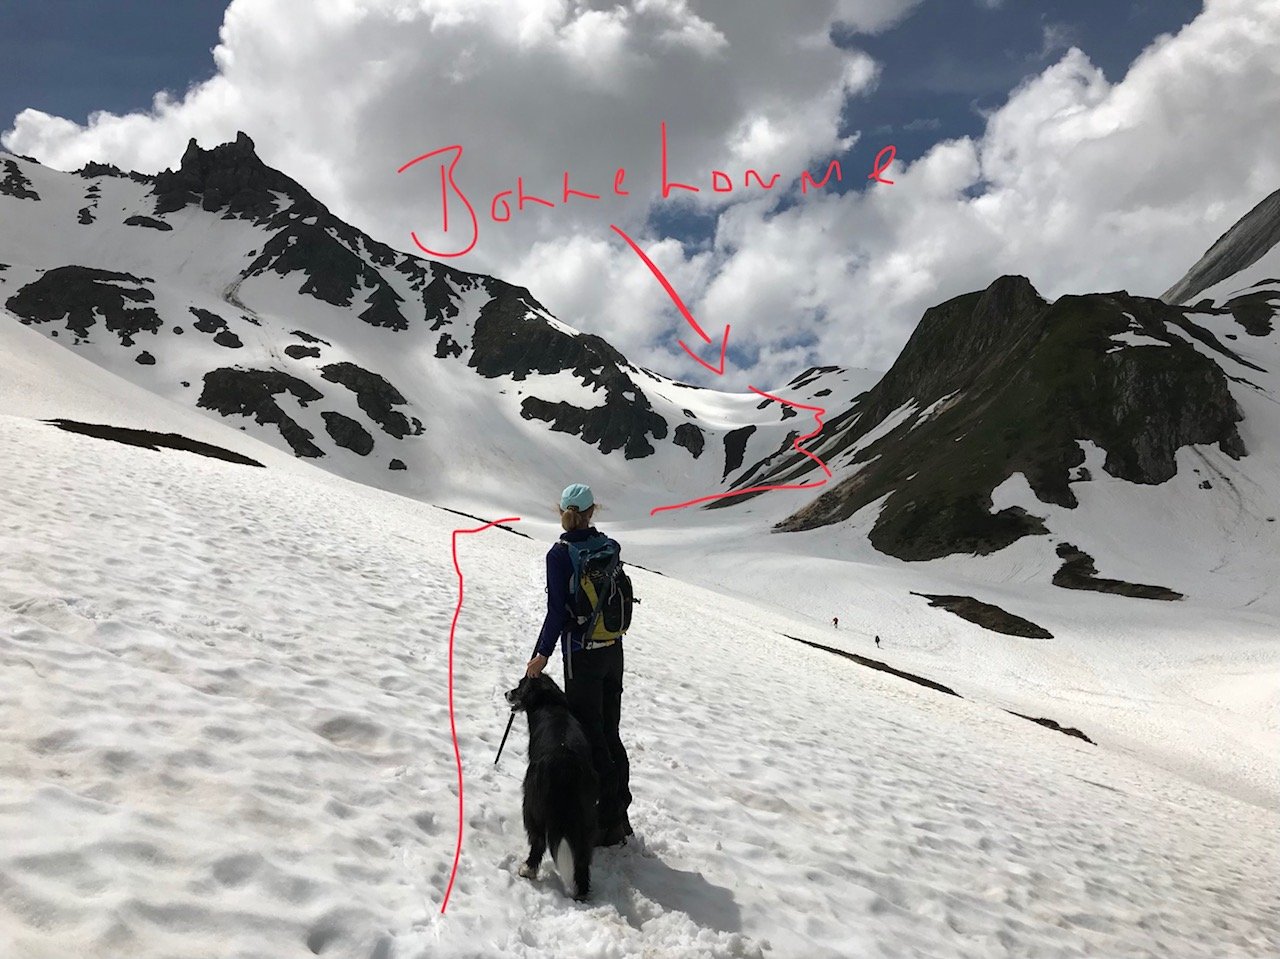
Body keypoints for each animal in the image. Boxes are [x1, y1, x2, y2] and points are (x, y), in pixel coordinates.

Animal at [501, 670, 596, 896]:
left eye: (521, 686)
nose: (506, 693)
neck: (549, 702)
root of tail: (565, 768)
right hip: (586, 815)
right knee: (582, 854)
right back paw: (581, 892)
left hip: (532, 804)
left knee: (538, 841)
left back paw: (527, 870)